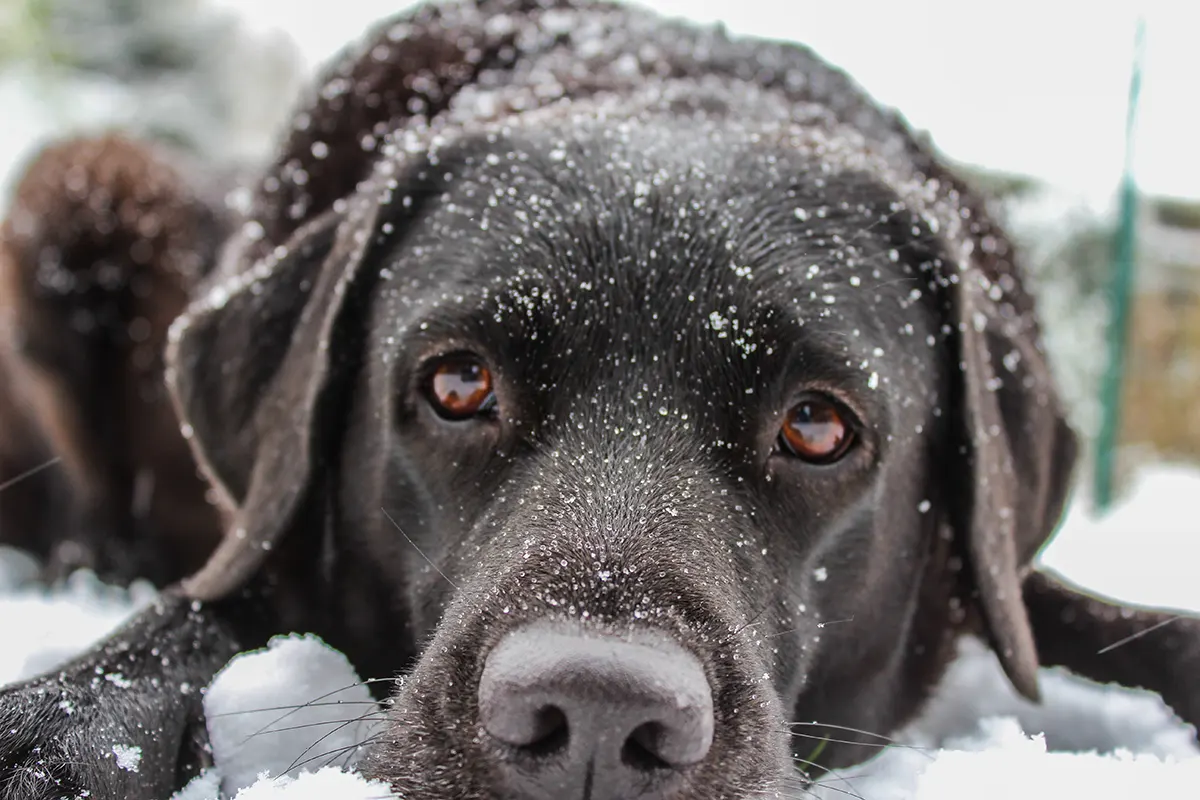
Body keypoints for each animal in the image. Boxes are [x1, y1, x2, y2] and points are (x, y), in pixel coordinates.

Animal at [2, 1, 1200, 800]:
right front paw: (56, 729)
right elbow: (195, 608)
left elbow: (1106, 622)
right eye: (457, 382)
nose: (593, 715)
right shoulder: (265, 540)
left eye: (818, 425)